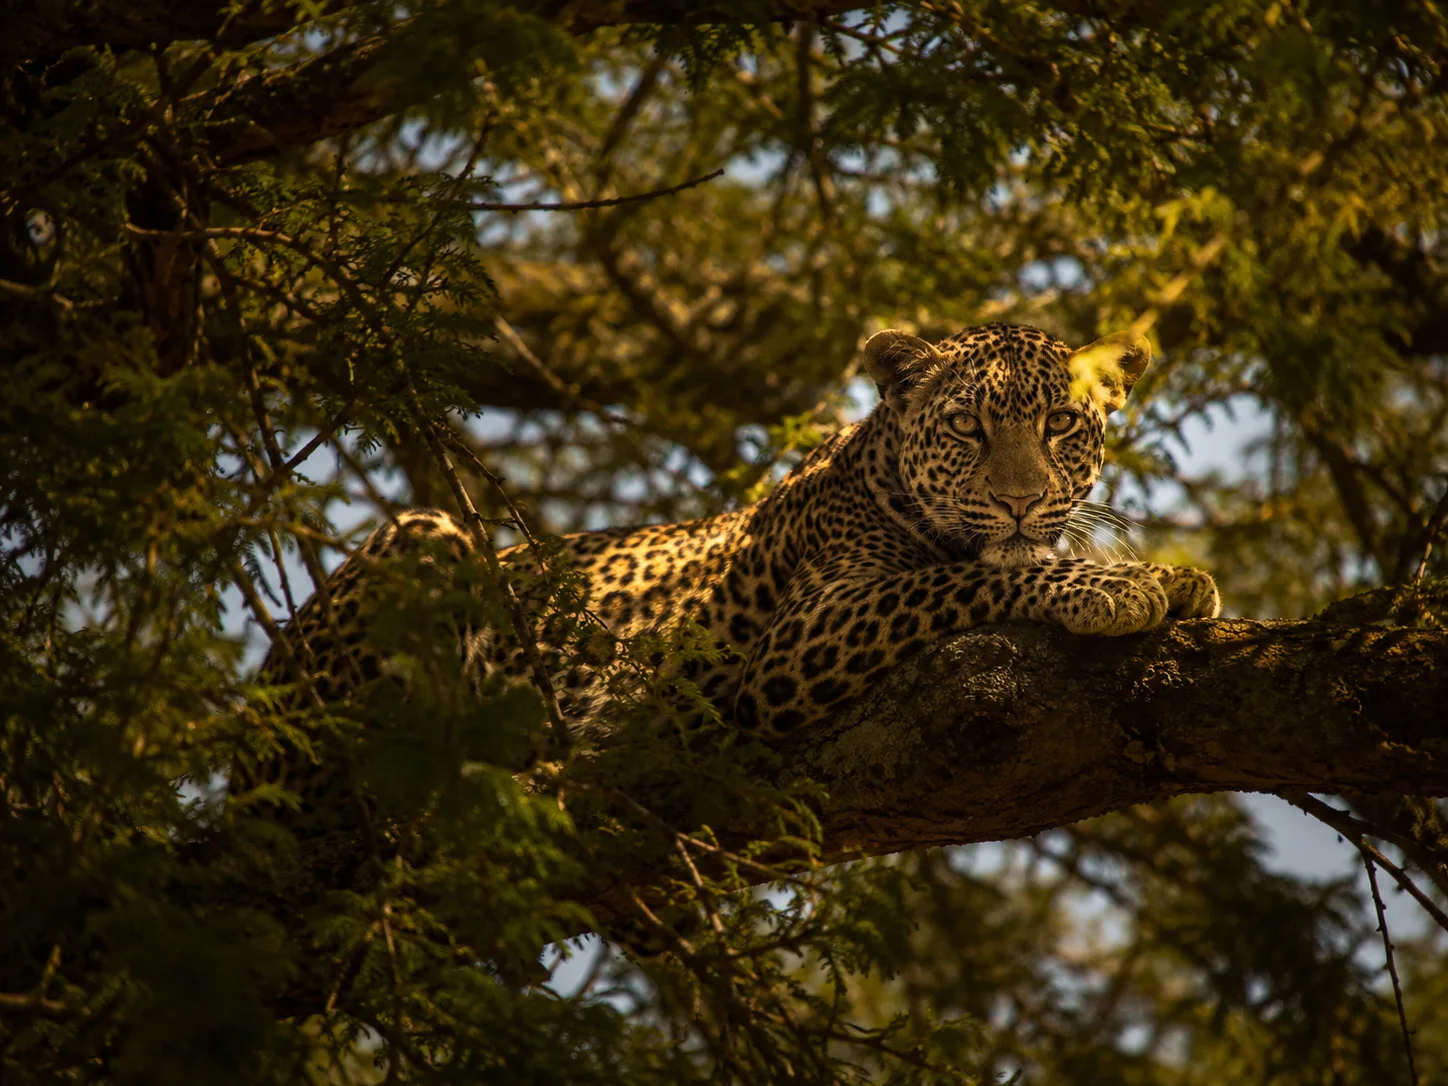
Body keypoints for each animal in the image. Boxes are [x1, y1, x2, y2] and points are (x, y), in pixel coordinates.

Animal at [272, 322, 1220, 743]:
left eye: (1060, 425)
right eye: (967, 428)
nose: (1022, 501)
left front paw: (1180, 579)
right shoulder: (807, 631)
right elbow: (962, 578)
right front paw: (1116, 587)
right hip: (426, 533)